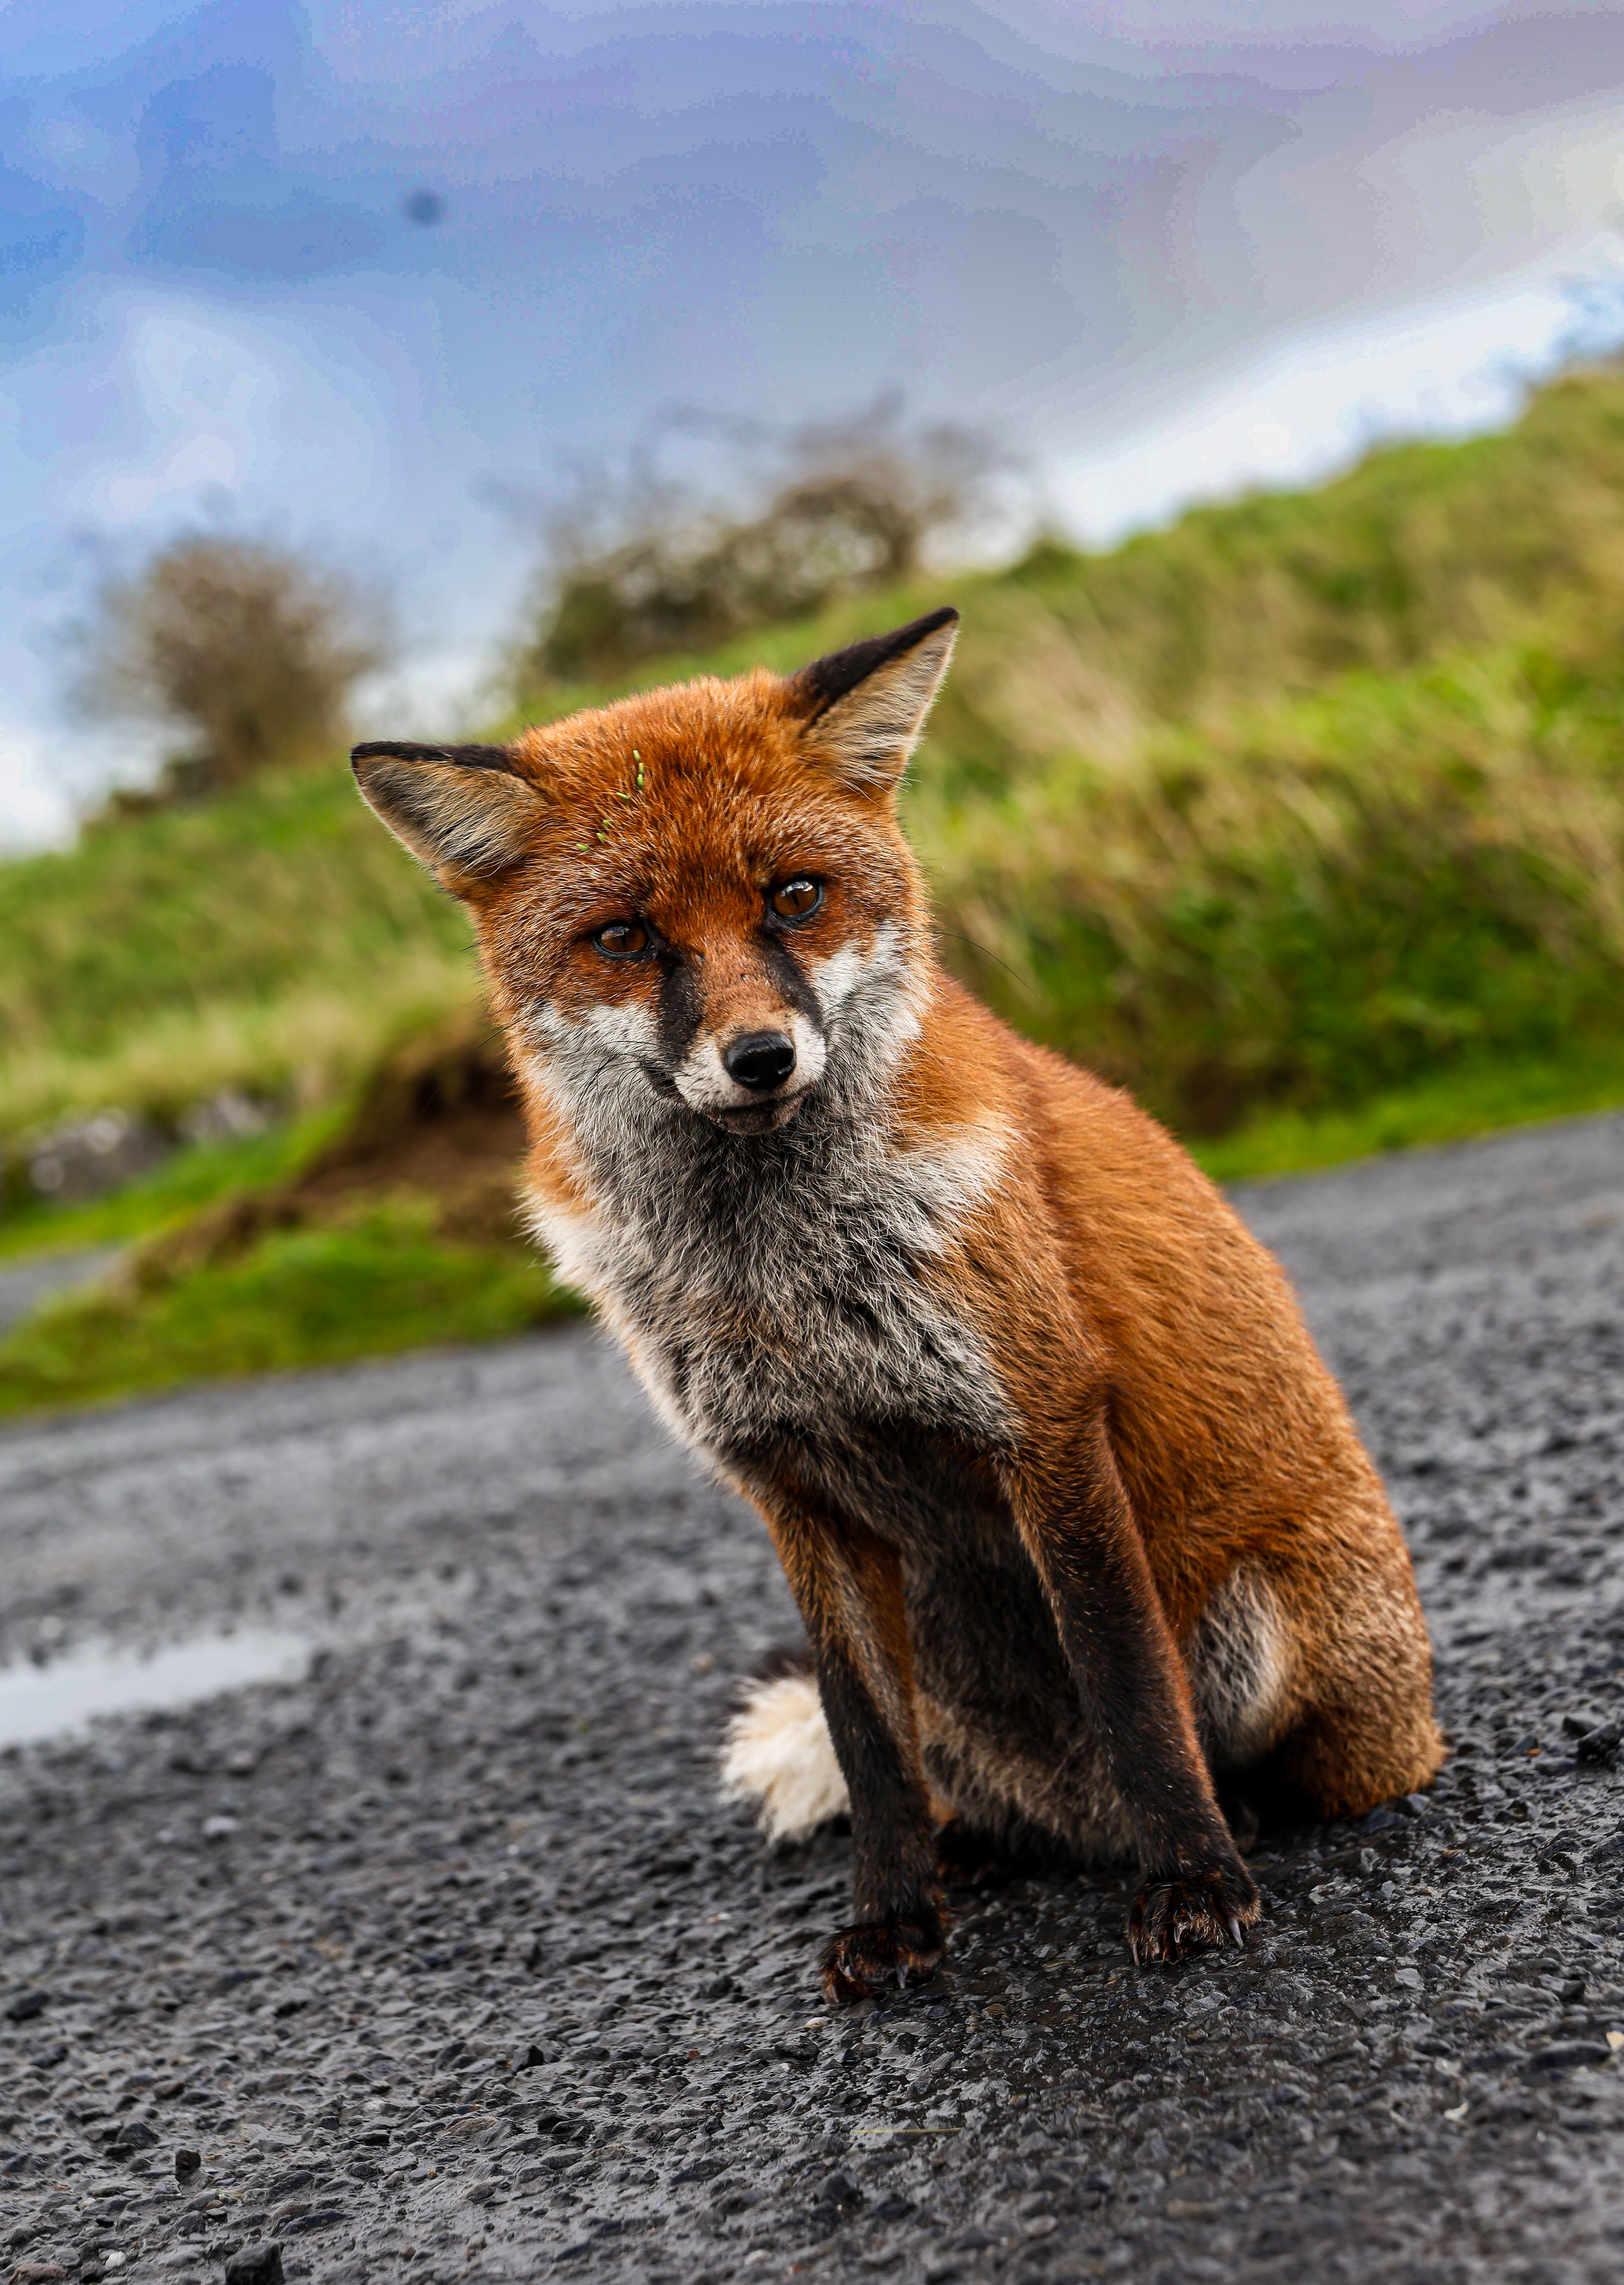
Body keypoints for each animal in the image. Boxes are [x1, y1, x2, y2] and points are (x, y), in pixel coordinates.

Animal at [352, 606, 1445, 2001]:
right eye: (627, 937)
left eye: (794, 897)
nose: (761, 1058)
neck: (776, 1274)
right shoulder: (789, 1483)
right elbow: (865, 1745)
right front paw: (892, 1918)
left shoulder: (1040, 1422)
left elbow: (1129, 1688)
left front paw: (1195, 1883)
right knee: (963, 1791)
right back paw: (978, 1851)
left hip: (1273, 1645)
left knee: (1283, 1770)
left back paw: (1234, 1822)